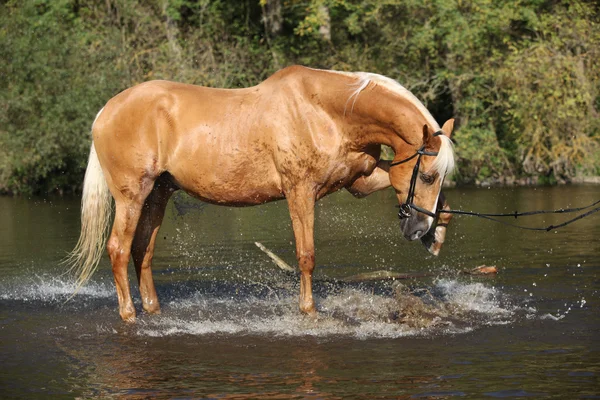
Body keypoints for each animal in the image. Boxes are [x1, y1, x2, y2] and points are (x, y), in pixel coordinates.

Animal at [67, 65, 454, 322]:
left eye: (441, 177)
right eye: (428, 175)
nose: (418, 229)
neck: (326, 112)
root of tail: (105, 111)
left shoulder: (359, 180)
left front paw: (439, 230)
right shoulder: (300, 191)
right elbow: (306, 255)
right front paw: (308, 310)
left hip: (158, 194)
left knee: (141, 251)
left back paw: (153, 309)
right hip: (131, 197)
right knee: (118, 250)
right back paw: (129, 314)